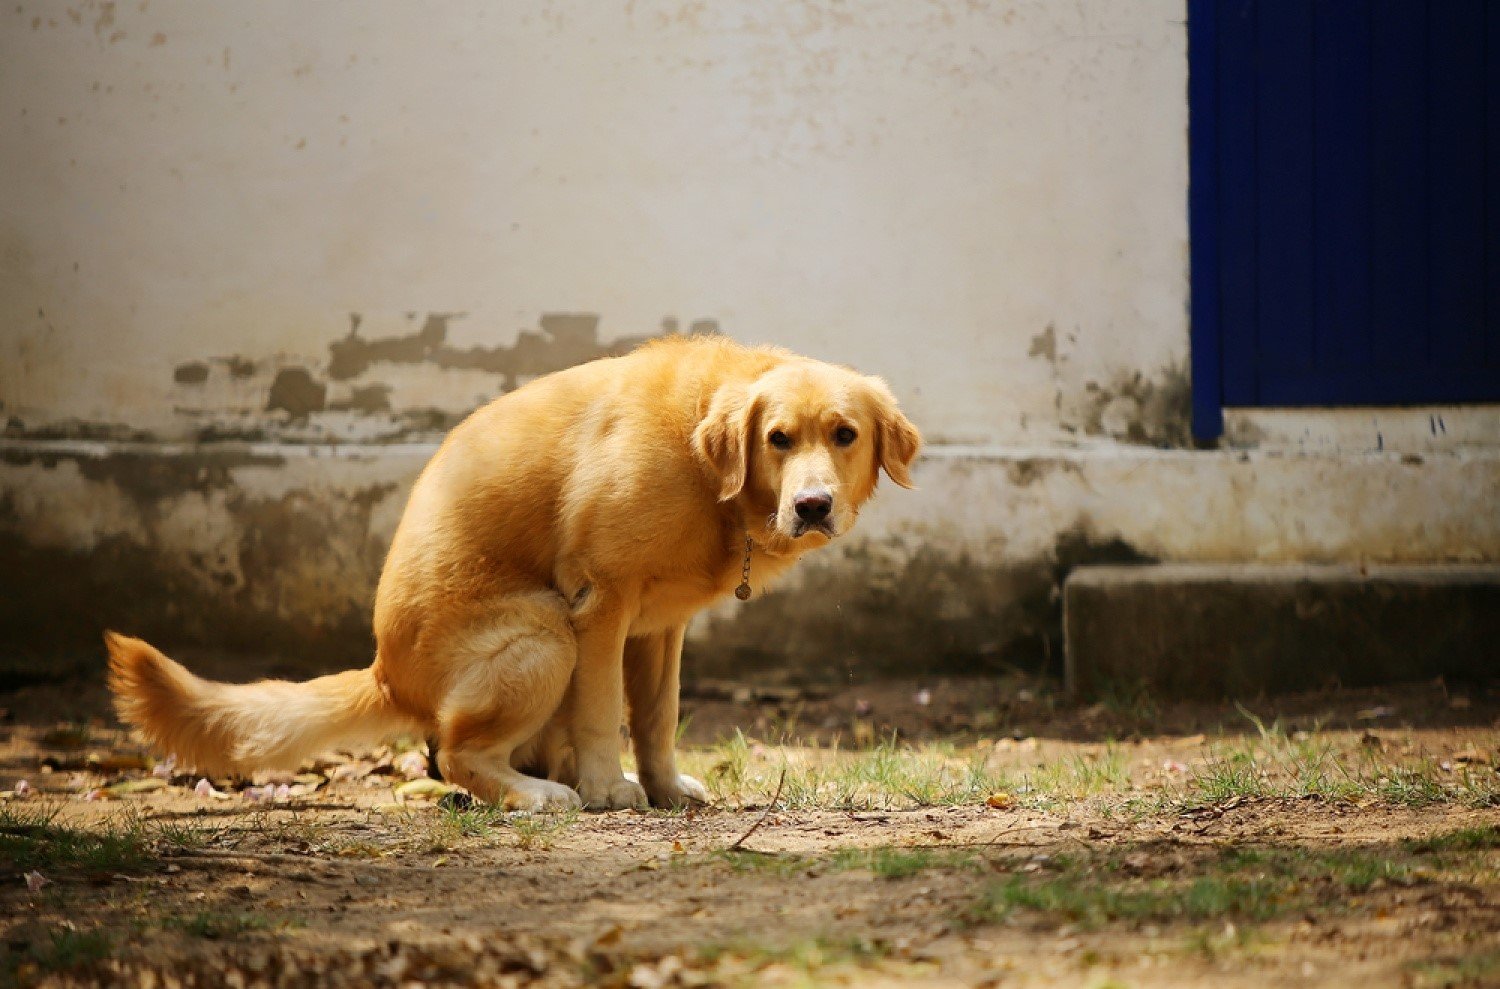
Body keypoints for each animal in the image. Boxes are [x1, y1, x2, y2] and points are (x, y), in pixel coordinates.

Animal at [105, 336, 918, 810]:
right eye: (778, 438)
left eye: (844, 435)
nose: (812, 506)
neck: (706, 467)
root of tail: (384, 671)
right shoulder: (599, 605)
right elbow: (603, 714)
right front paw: (609, 789)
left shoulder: (661, 629)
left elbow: (656, 719)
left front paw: (662, 787)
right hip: (543, 634)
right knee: (459, 756)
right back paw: (539, 794)